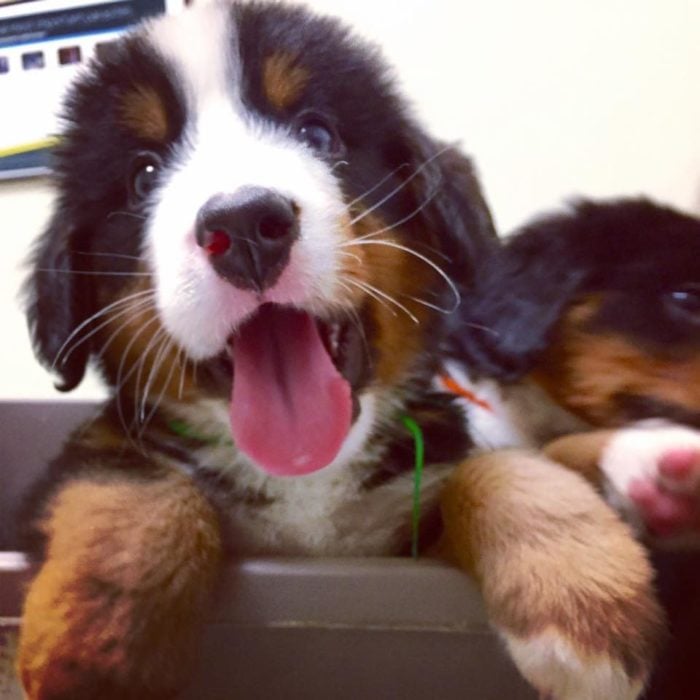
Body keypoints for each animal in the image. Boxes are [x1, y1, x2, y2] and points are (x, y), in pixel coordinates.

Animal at [19, 2, 668, 696]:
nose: (244, 224)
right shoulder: (92, 455)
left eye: (318, 133)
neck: (308, 483)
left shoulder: (414, 505)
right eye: (142, 174)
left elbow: (502, 468)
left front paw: (582, 598)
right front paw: (96, 645)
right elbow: (131, 484)